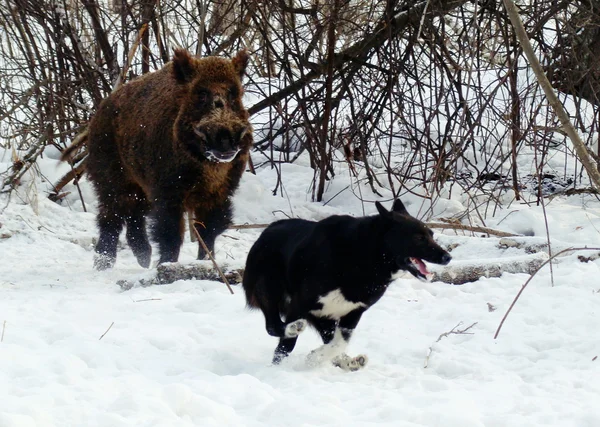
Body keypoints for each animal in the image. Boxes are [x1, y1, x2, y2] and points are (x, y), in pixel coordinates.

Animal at [243, 201, 450, 372]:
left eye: (431, 235)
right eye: (418, 238)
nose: (447, 257)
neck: (364, 255)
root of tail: (266, 231)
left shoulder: (352, 313)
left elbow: (339, 343)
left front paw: (319, 358)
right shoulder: (300, 303)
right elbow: (286, 345)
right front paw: (292, 364)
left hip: (323, 317)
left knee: (327, 339)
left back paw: (348, 362)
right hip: (270, 291)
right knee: (273, 327)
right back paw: (291, 334)